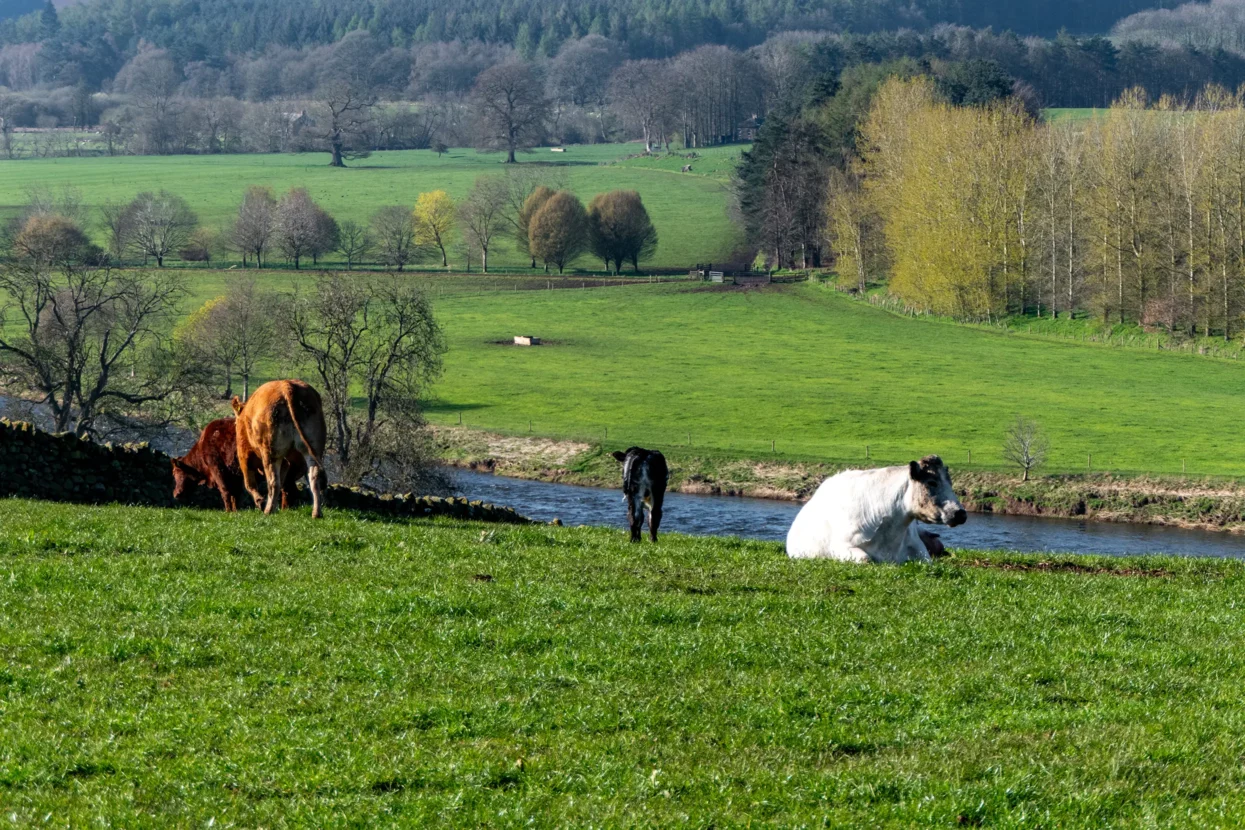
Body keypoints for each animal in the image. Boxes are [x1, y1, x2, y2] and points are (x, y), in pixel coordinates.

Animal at [173, 423, 308, 512]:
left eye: (176, 473)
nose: (176, 494)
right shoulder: (234, 475)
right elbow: (235, 494)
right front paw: (235, 511)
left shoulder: (217, 469)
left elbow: (225, 491)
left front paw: (228, 511)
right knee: (290, 490)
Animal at [230, 380, 323, 515]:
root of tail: (287, 384)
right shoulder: (285, 462)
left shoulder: (244, 455)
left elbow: (249, 484)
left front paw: (260, 501)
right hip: (313, 448)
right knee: (314, 477)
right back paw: (316, 513)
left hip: (270, 452)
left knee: (273, 482)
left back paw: (268, 511)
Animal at [781, 455, 966, 564]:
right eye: (931, 482)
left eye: (950, 482)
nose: (960, 513)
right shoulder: (840, 547)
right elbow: (865, 559)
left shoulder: (921, 552)